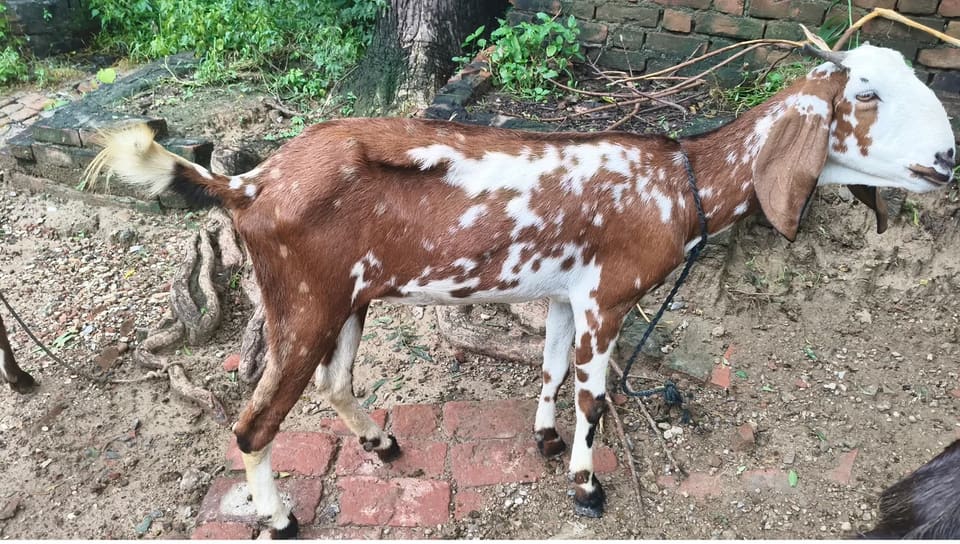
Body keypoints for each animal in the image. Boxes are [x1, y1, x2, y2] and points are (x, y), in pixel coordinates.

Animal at [83, 44, 955, 538]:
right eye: (867, 93)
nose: (948, 157)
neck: (679, 184)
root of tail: (245, 184)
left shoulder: (568, 292)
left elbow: (552, 366)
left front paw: (541, 441)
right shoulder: (610, 296)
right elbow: (594, 394)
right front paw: (587, 487)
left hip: (347, 300)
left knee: (334, 383)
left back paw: (380, 443)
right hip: (303, 302)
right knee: (254, 421)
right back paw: (281, 516)